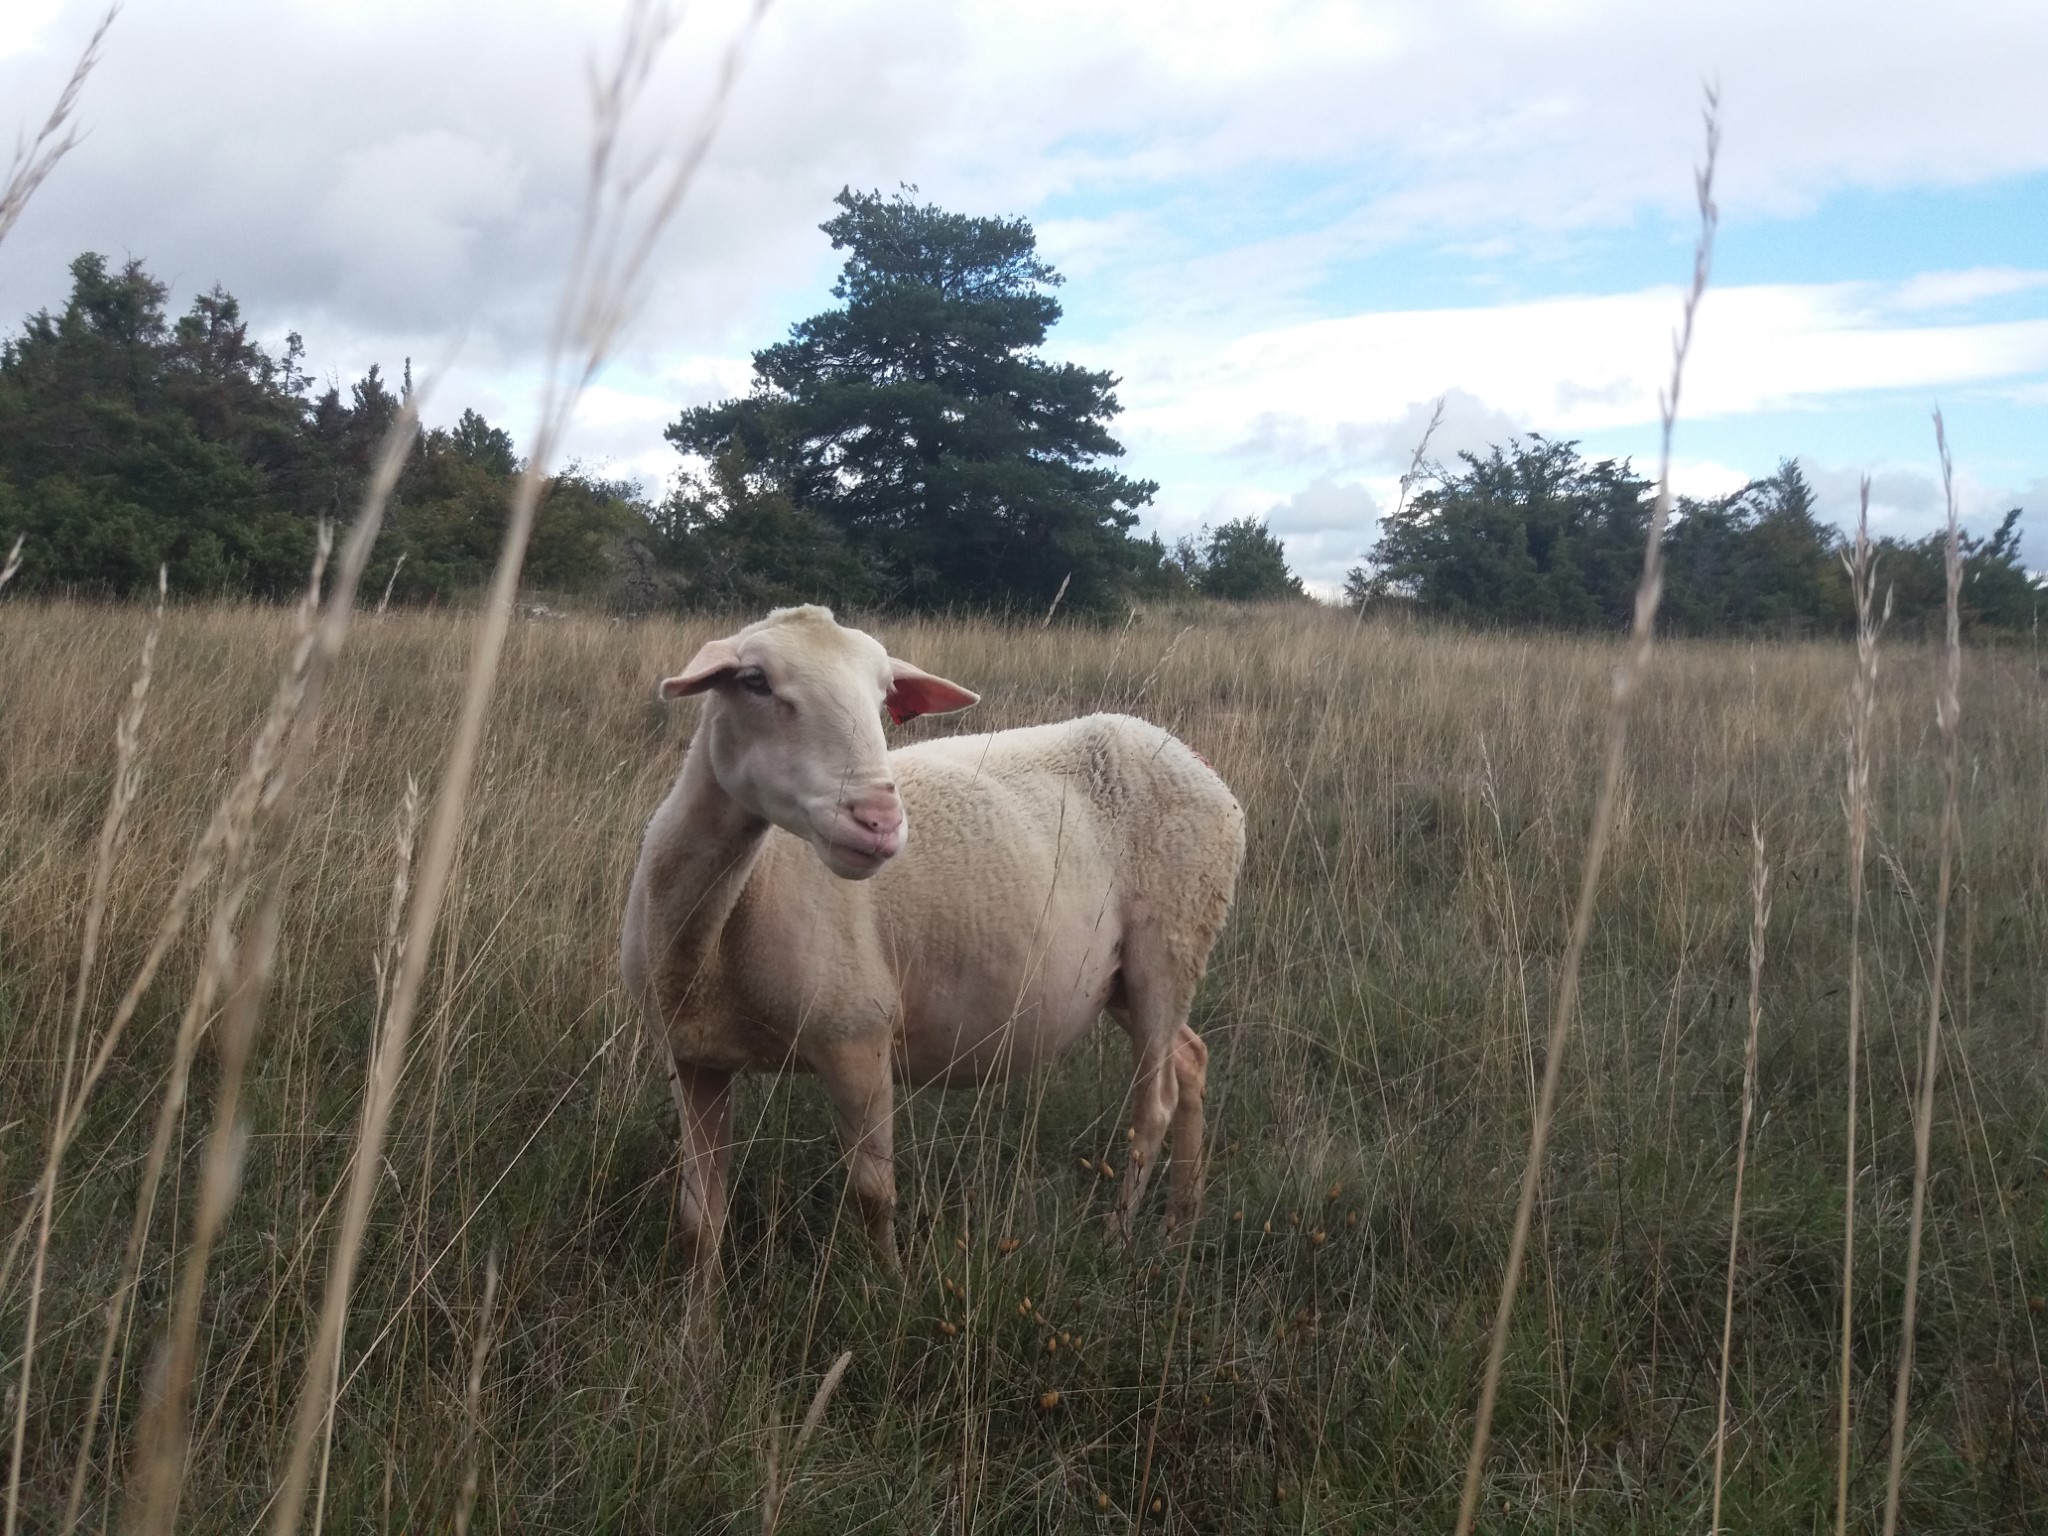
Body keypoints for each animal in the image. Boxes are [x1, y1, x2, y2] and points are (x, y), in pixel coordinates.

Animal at [614, 606, 1236, 1277]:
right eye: (754, 680)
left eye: (884, 693)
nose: (880, 820)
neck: (711, 938)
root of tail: (1193, 759)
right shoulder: (691, 1059)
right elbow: (699, 1221)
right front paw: (697, 1308)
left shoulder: (857, 1037)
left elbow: (872, 1196)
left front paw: (886, 1289)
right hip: (1120, 978)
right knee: (1191, 1058)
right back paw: (1181, 1223)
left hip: (1171, 943)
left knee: (1156, 1102)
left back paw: (1120, 1239)